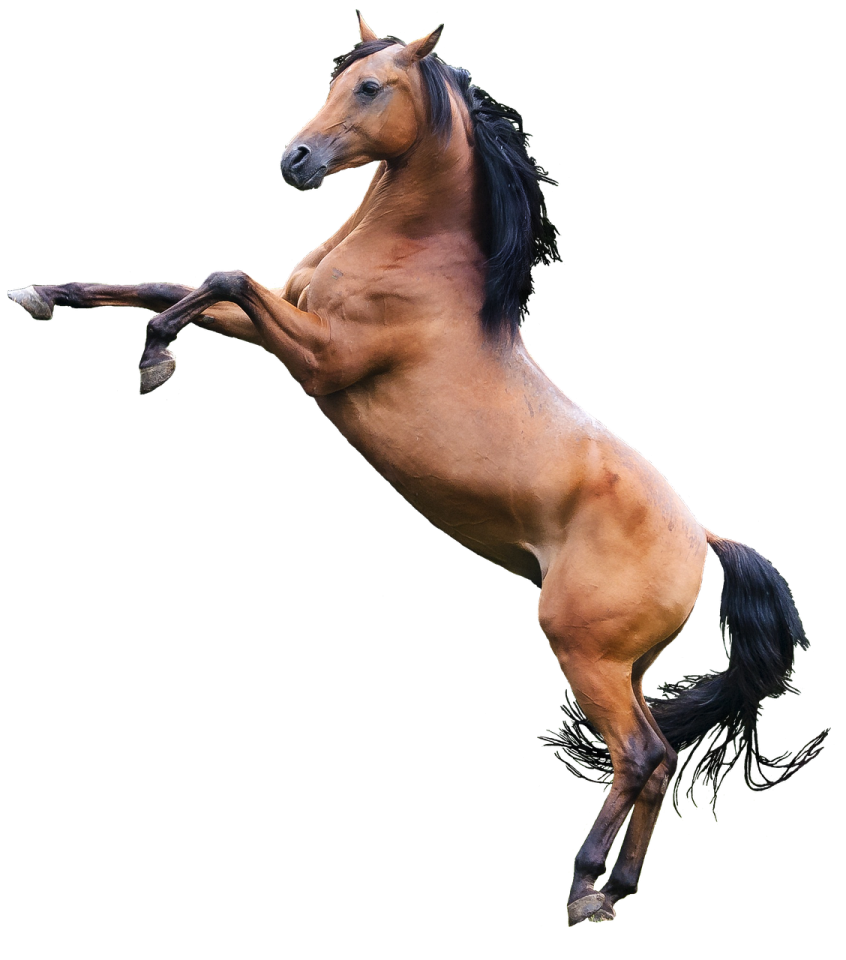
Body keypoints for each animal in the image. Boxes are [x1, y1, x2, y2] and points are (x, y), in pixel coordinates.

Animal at [7, 8, 827, 926]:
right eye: (332, 81)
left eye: (370, 87)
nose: (294, 160)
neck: (417, 265)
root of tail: (705, 540)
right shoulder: (278, 325)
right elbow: (168, 284)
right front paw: (44, 296)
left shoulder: (319, 358)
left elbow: (221, 275)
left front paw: (154, 361)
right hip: (628, 668)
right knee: (655, 761)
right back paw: (614, 889)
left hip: (583, 651)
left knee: (641, 756)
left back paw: (585, 888)